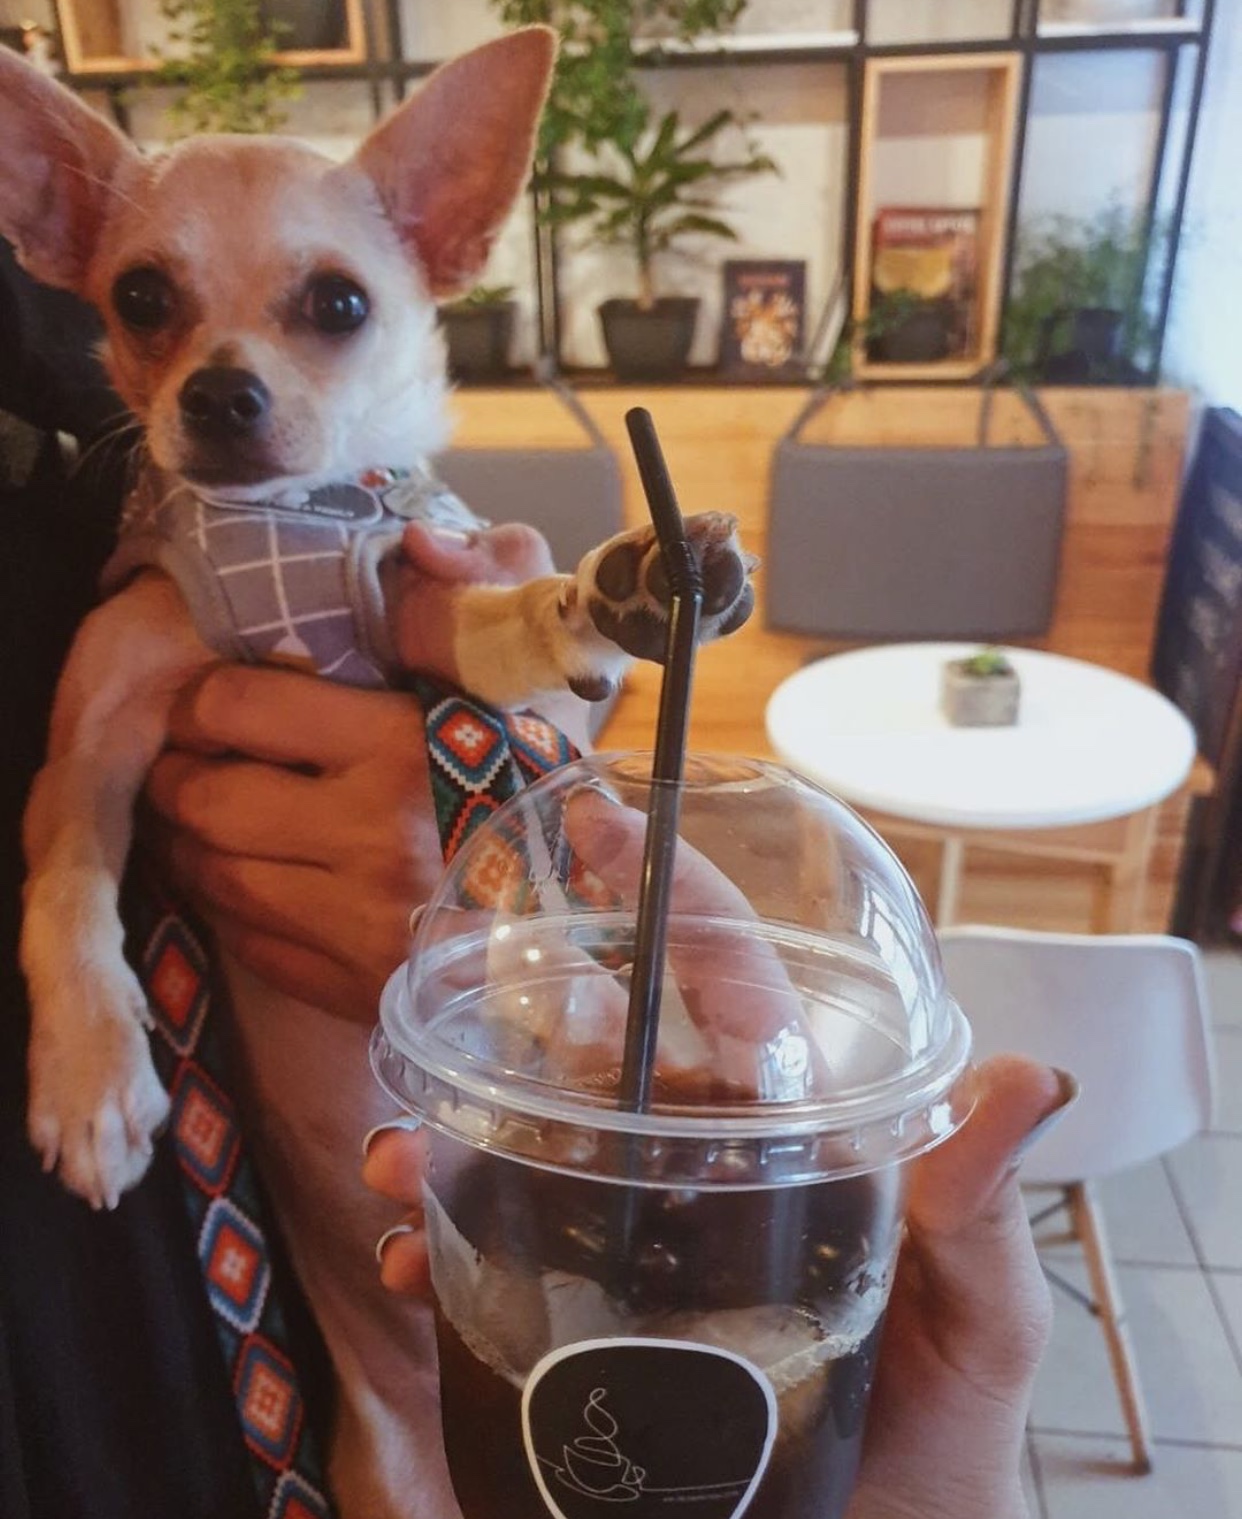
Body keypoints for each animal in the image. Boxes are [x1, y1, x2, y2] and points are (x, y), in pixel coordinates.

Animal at [0, 26, 756, 1519]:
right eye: (141, 296)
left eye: (340, 303)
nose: (219, 394)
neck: (276, 542)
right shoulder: (91, 746)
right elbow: (65, 893)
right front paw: (93, 1073)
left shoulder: (425, 617)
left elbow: (504, 625)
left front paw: (613, 597)